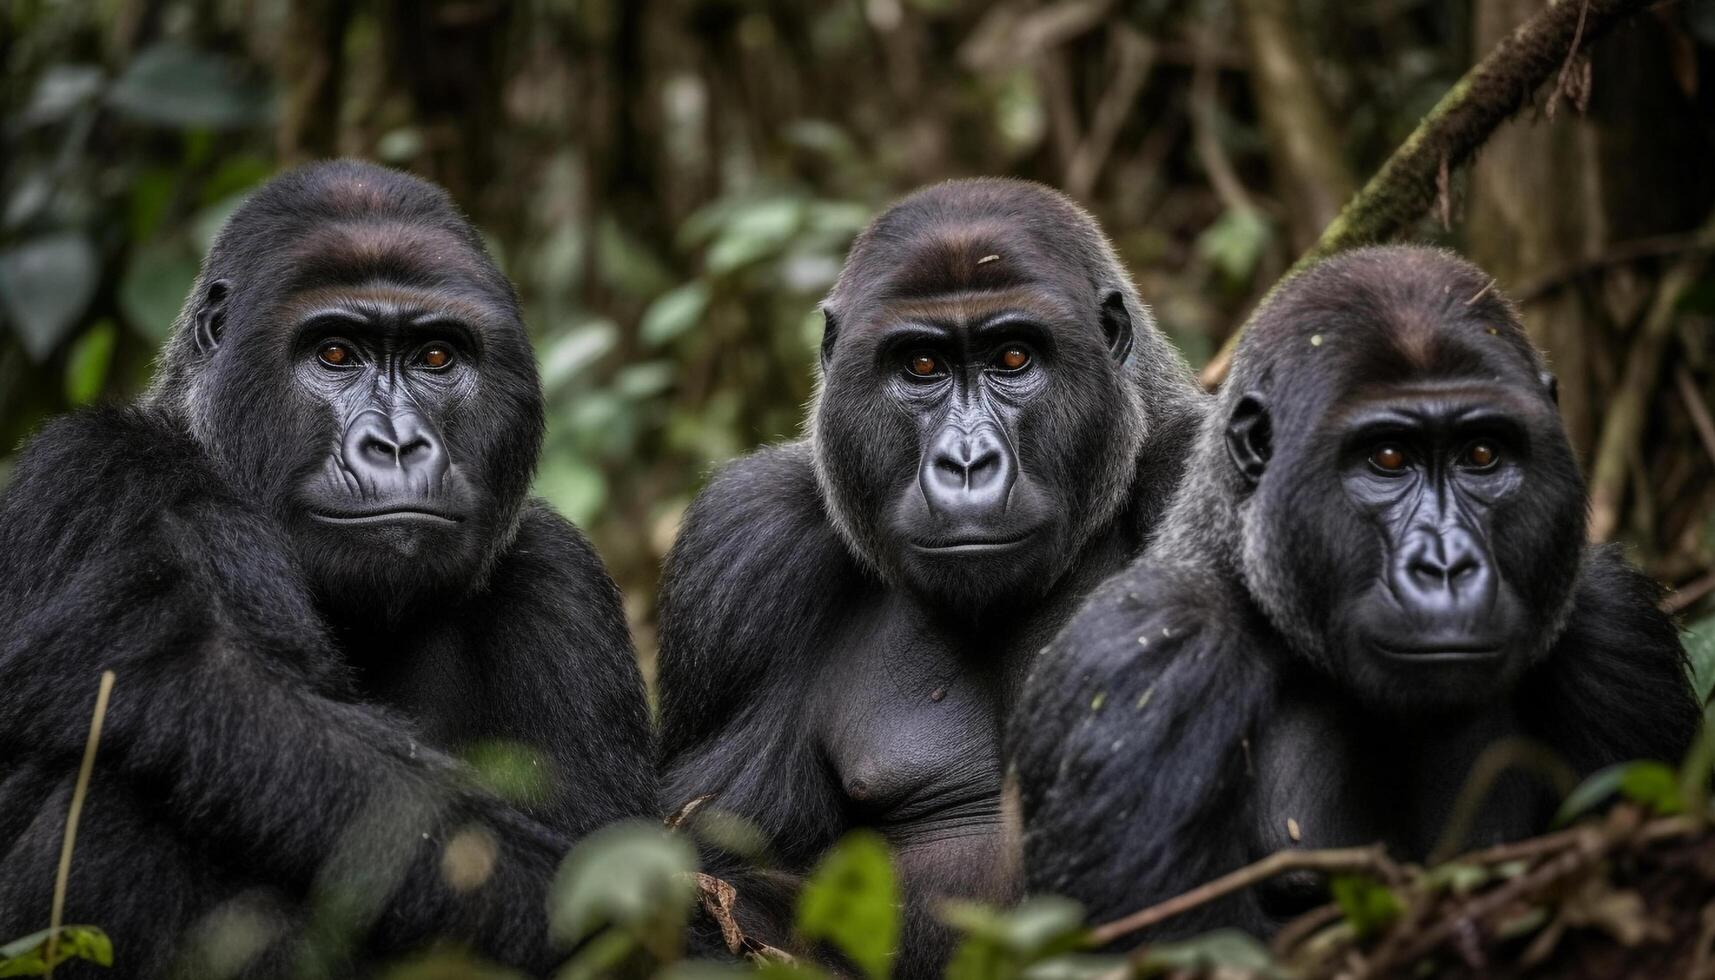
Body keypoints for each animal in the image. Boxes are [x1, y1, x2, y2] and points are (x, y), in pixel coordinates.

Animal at [0, 158, 655, 974]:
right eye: (335, 354)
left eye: (436, 358)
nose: (399, 446)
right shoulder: (100, 469)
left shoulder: (560, 580)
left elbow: (605, 859)